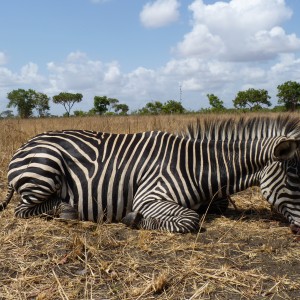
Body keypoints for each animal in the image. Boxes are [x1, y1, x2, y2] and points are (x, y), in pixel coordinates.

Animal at [0, 116, 300, 233]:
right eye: (294, 180)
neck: (195, 165)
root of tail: (25, 144)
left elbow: (218, 203)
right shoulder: (149, 197)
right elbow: (190, 220)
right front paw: (133, 219)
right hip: (45, 167)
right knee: (24, 210)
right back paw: (66, 209)